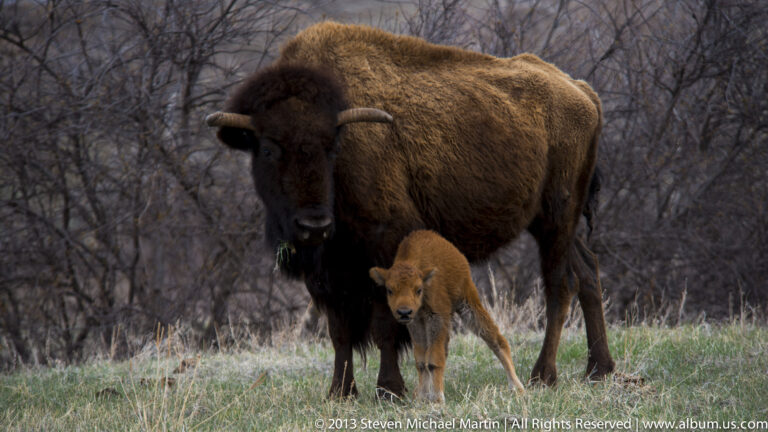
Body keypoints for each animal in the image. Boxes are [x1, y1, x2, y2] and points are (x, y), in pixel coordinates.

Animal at [369, 230, 526, 402]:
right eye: (390, 290)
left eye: (418, 289)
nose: (404, 312)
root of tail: (456, 253)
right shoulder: (416, 323)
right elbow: (421, 361)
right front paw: (421, 398)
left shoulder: (437, 318)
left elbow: (433, 359)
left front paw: (437, 400)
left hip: (468, 302)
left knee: (496, 339)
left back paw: (517, 388)